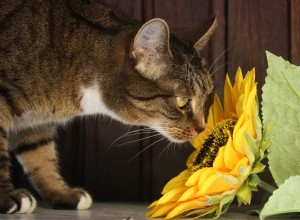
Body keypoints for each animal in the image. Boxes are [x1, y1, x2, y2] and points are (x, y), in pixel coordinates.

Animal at [0, 0, 216, 214]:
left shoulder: (37, 122)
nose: (202, 127)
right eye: (182, 101)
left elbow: (40, 155)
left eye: (206, 97)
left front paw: (61, 193)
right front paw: (7, 197)